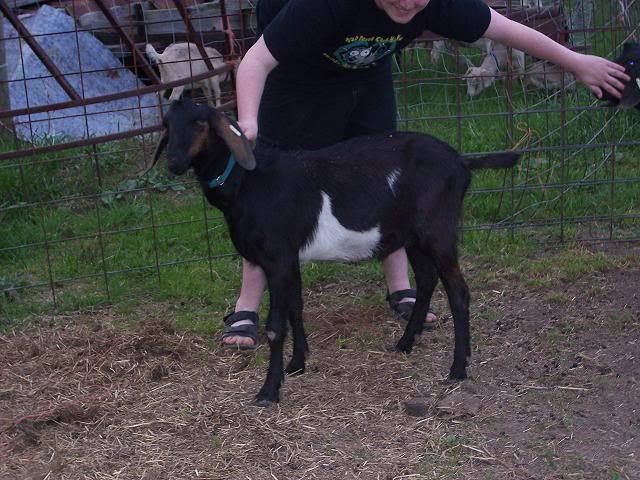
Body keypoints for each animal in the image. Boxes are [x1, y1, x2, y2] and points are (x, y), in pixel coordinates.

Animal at [148, 98, 519, 406]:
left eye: (201, 123)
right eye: (167, 124)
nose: (174, 162)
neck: (248, 183)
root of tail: (461, 162)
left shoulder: (277, 258)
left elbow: (275, 326)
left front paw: (269, 391)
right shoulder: (288, 258)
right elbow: (296, 307)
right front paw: (298, 363)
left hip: (438, 231)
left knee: (458, 291)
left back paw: (458, 368)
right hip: (411, 235)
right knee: (427, 279)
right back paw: (405, 343)